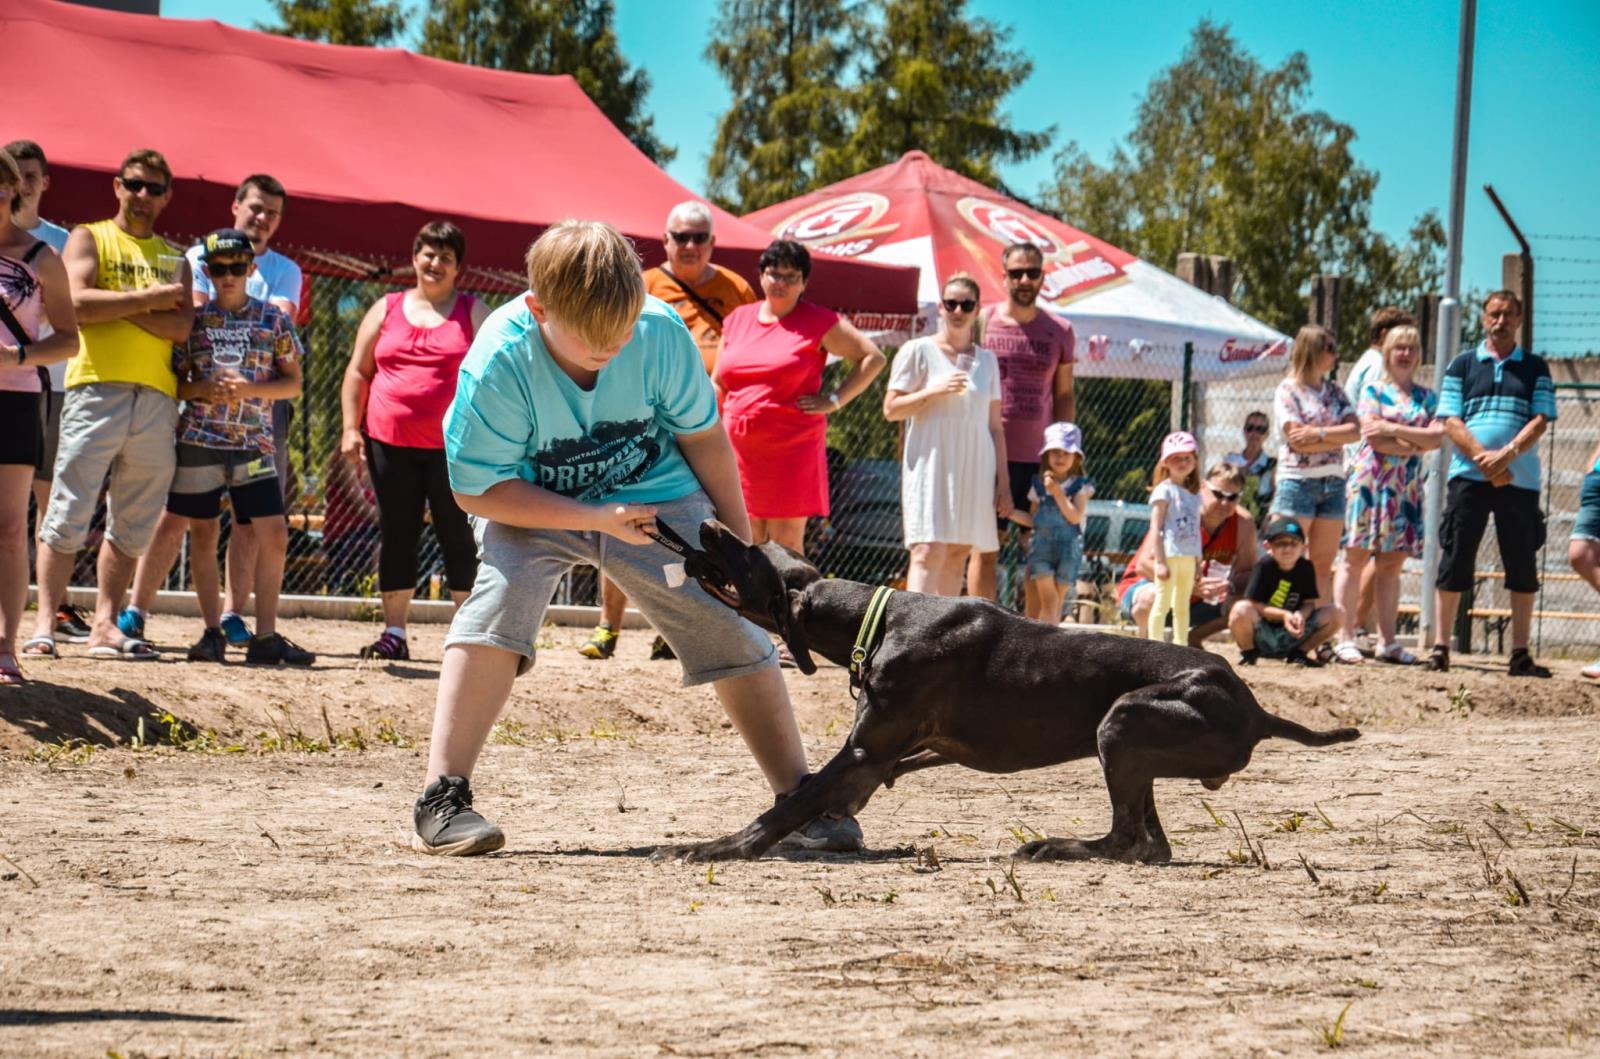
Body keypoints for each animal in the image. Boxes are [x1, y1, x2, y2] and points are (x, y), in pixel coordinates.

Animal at [656, 521, 1356, 863]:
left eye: (746, 554)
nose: (707, 522)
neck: (877, 618)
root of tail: (1257, 708)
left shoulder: (863, 751)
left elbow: (786, 806)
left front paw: (718, 848)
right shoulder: (880, 758)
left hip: (1123, 722)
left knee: (1131, 841)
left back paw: (1055, 847)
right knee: (1149, 843)